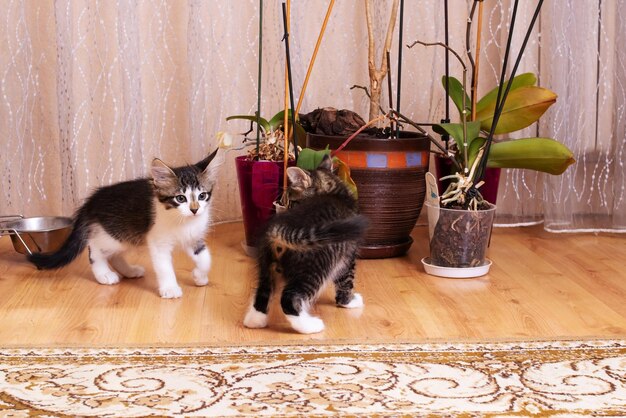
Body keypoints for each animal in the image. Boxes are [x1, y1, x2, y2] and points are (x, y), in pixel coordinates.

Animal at [28, 149, 219, 298]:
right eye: (180, 198)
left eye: (202, 195)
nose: (194, 209)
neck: (184, 221)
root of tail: (92, 200)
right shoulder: (158, 242)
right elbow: (164, 267)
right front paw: (170, 289)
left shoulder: (194, 239)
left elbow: (206, 258)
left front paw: (199, 276)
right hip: (115, 234)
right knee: (95, 248)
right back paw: (104, 274)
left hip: (128, 236)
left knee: (114, 255)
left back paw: (130, 271)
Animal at [241, 155, 364, 334]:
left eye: (291, 202)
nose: (285, 207)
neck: (336, 194)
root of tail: (279, 229)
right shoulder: (348, 255)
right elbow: (345, 281)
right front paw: (348, 302)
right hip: (315, 268)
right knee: (289, 299)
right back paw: (310, 326)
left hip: (266, 265)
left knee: (263, 293)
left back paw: (255, 321)